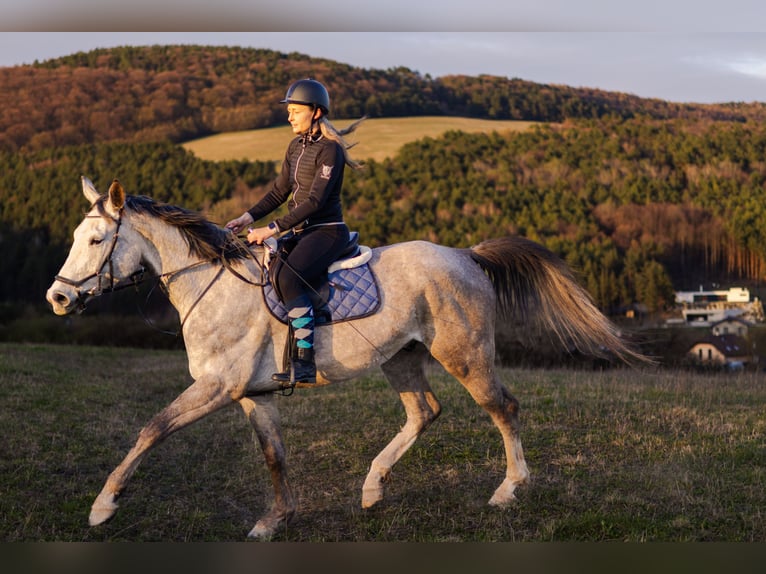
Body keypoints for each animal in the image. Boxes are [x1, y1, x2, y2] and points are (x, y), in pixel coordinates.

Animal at [46, 177, 647, 539]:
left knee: (504, 409)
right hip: (401, 355)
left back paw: (508, 490)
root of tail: (465, 255)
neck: (211, 284)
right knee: (424, 412)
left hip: (464, 354)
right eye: (76, 235)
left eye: (97, 240)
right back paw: (373, 488)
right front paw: (275, 519)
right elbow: (274, 456)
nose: (58, 299)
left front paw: (104, 505)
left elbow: (152, 429)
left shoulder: (217, 388)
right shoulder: (251, 395)